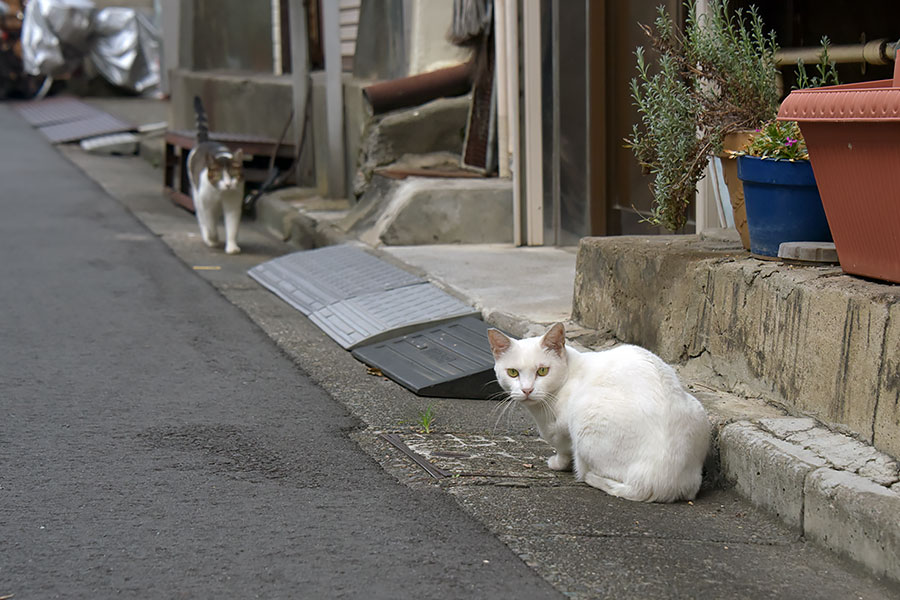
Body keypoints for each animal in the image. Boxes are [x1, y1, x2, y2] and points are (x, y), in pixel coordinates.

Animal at [186, 95, 244, 253]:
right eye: (219, 176)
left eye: (233, 175)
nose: (228, 184)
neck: (221, 193)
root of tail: (205, 141)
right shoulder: (206, 203)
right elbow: (210, 224)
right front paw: (212, 238)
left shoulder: (233, 204)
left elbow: (232, 226)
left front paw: (232, 247)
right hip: (197, 195)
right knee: (202, 217)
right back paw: (208, 237)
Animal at [488, 324, 708, 502]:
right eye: (513, 373)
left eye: (543, 371)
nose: (527, 390)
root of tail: (659, 482)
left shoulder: (560, 428)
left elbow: (562, 448)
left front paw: (557, 463)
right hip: (697, 410)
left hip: (585, 417)